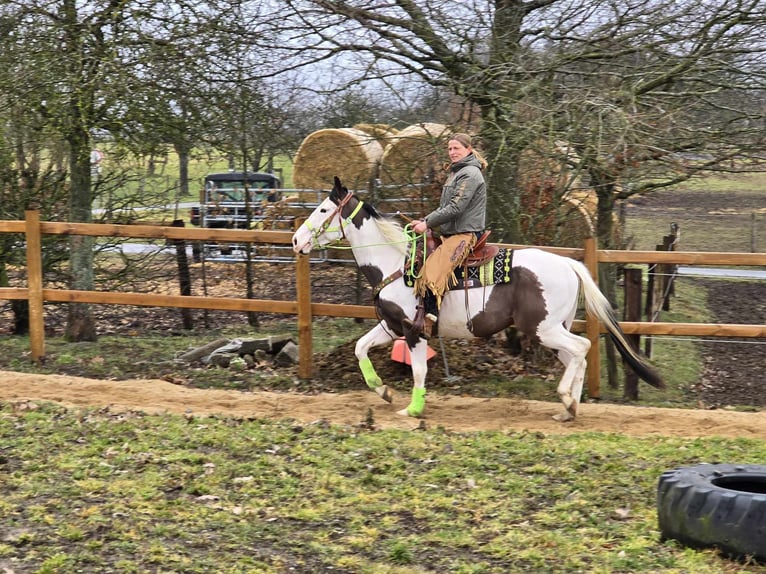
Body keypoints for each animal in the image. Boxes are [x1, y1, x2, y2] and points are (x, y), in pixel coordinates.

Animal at [292, 177, 664, 424]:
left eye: (323, 209)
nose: (296, 240)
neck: (395, 262)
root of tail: (569, 264)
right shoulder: (391, 326)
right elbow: (360, 349)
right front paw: (382, 391)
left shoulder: (414, 330)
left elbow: (419, 370)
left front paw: (413, 408)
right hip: (554, 328)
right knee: (577, 355)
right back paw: (569, 407)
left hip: (543, 329)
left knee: (581, 348)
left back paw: (567, 401)